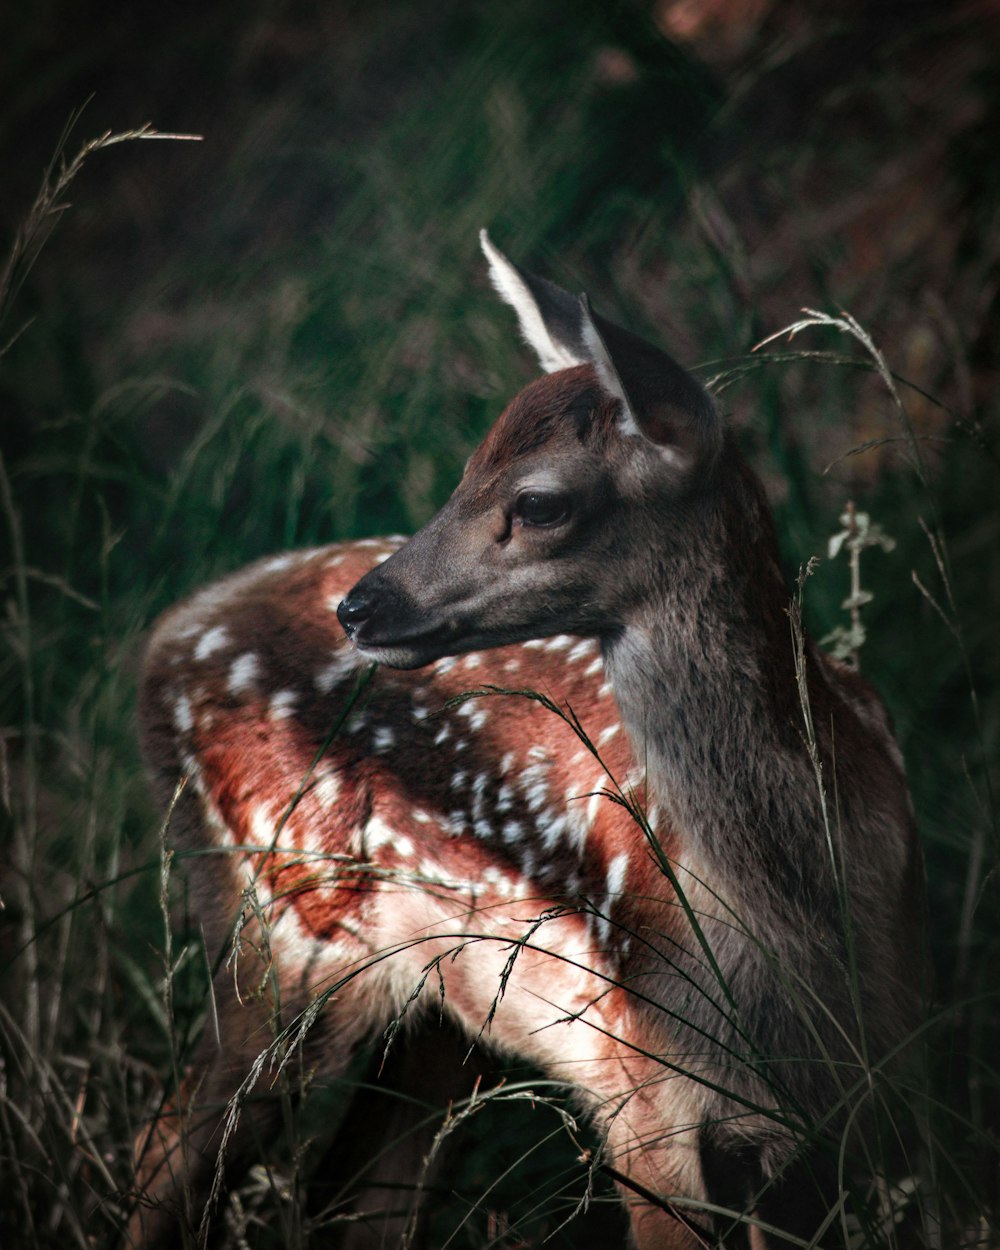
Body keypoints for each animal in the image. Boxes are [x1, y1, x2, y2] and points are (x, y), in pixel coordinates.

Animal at [130, 236, 920, 1250]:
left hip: (438, 1011)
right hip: (281, 935)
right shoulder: (645, 1097)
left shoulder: (849, 1106)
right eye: (466, 467)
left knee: (350, 1192)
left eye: (539, 501)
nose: (361, 607)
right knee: (164, 1153)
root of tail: (171, 634)